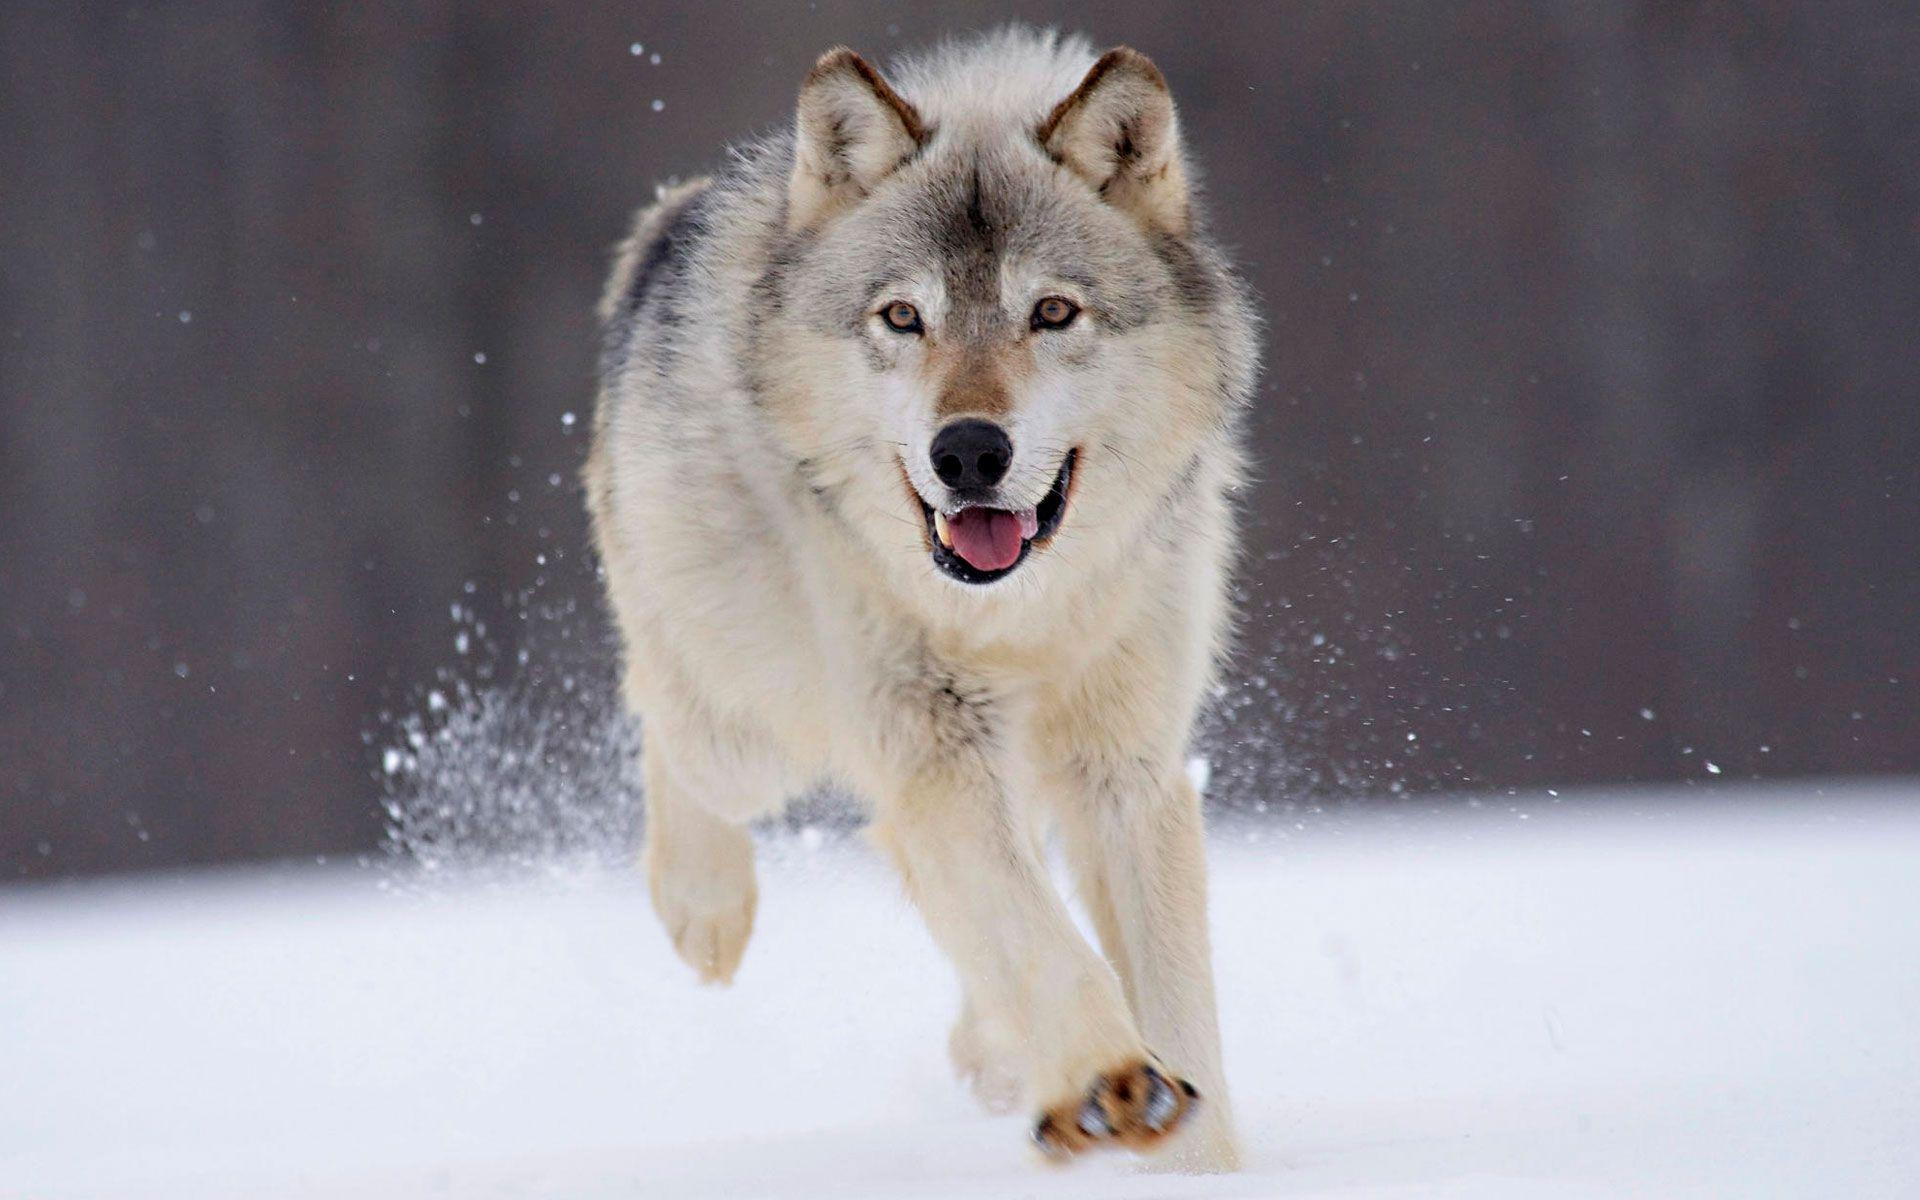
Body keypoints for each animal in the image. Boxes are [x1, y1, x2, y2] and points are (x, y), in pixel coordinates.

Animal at [585, 27, 1257, 1171]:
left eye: (1052, 313)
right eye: (903, 317)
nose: (969, 452)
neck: (1017, 618)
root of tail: (671, 220)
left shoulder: (1126, 770)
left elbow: (1173, 1003)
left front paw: (1190, 1156)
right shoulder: (933, 747)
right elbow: (1043, 940)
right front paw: (1107, 1080)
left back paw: (995, 1056)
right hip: (751, 726)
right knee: (666, 722)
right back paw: (704, 910)